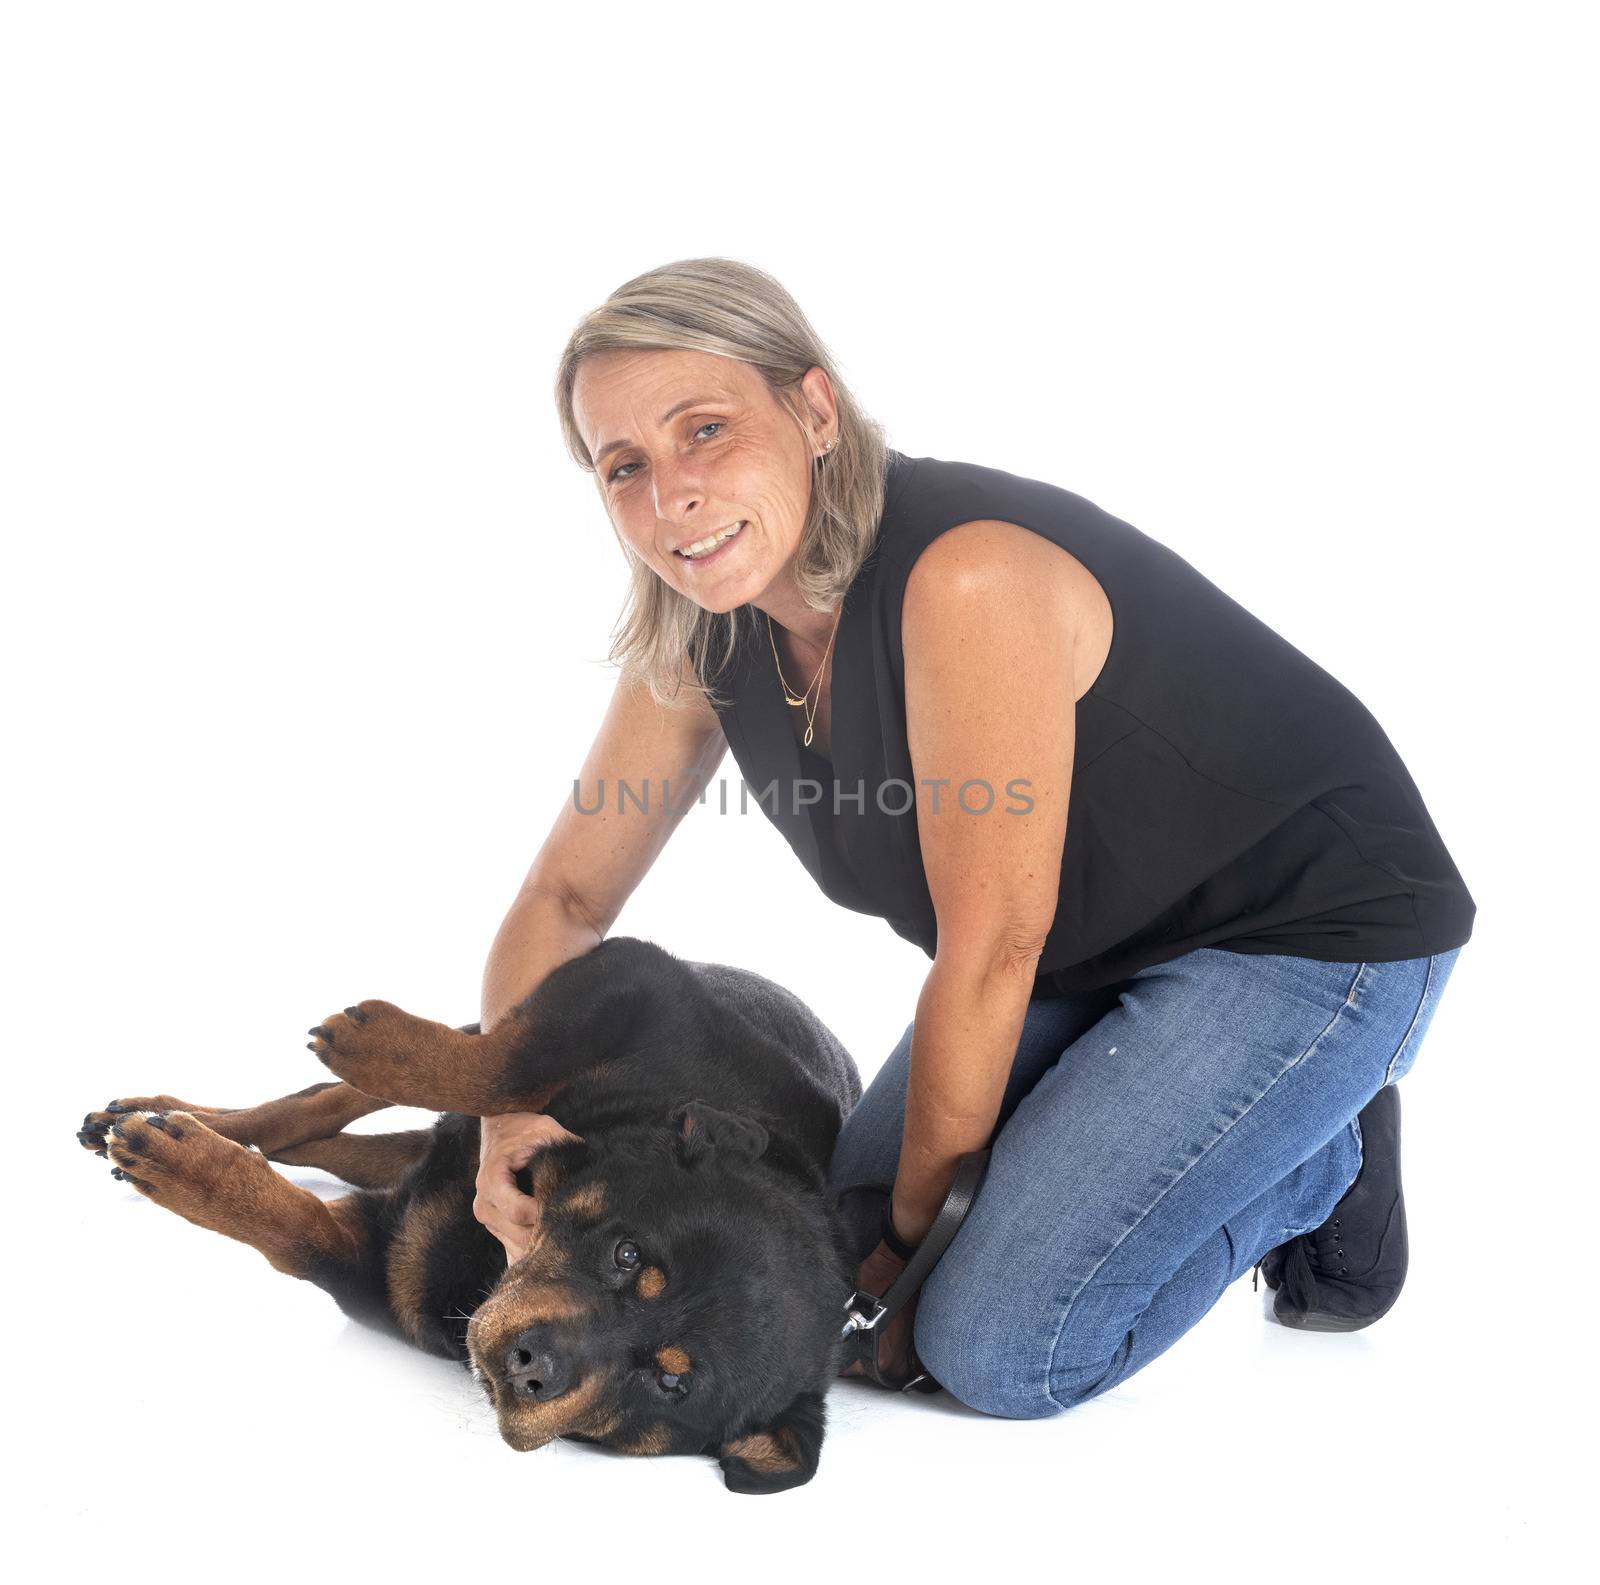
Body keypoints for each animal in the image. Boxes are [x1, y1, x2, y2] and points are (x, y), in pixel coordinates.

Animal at [78, 934, 864, 1490]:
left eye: (674, 1383)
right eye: (628, 1253)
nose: (532, 1367)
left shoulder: (381, 1278)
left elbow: (295, 1229)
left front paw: (190, 1170)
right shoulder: (637, 981)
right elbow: (507, 1065)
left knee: (346, 1142)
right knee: (325, 1099)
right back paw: (173, 1108)